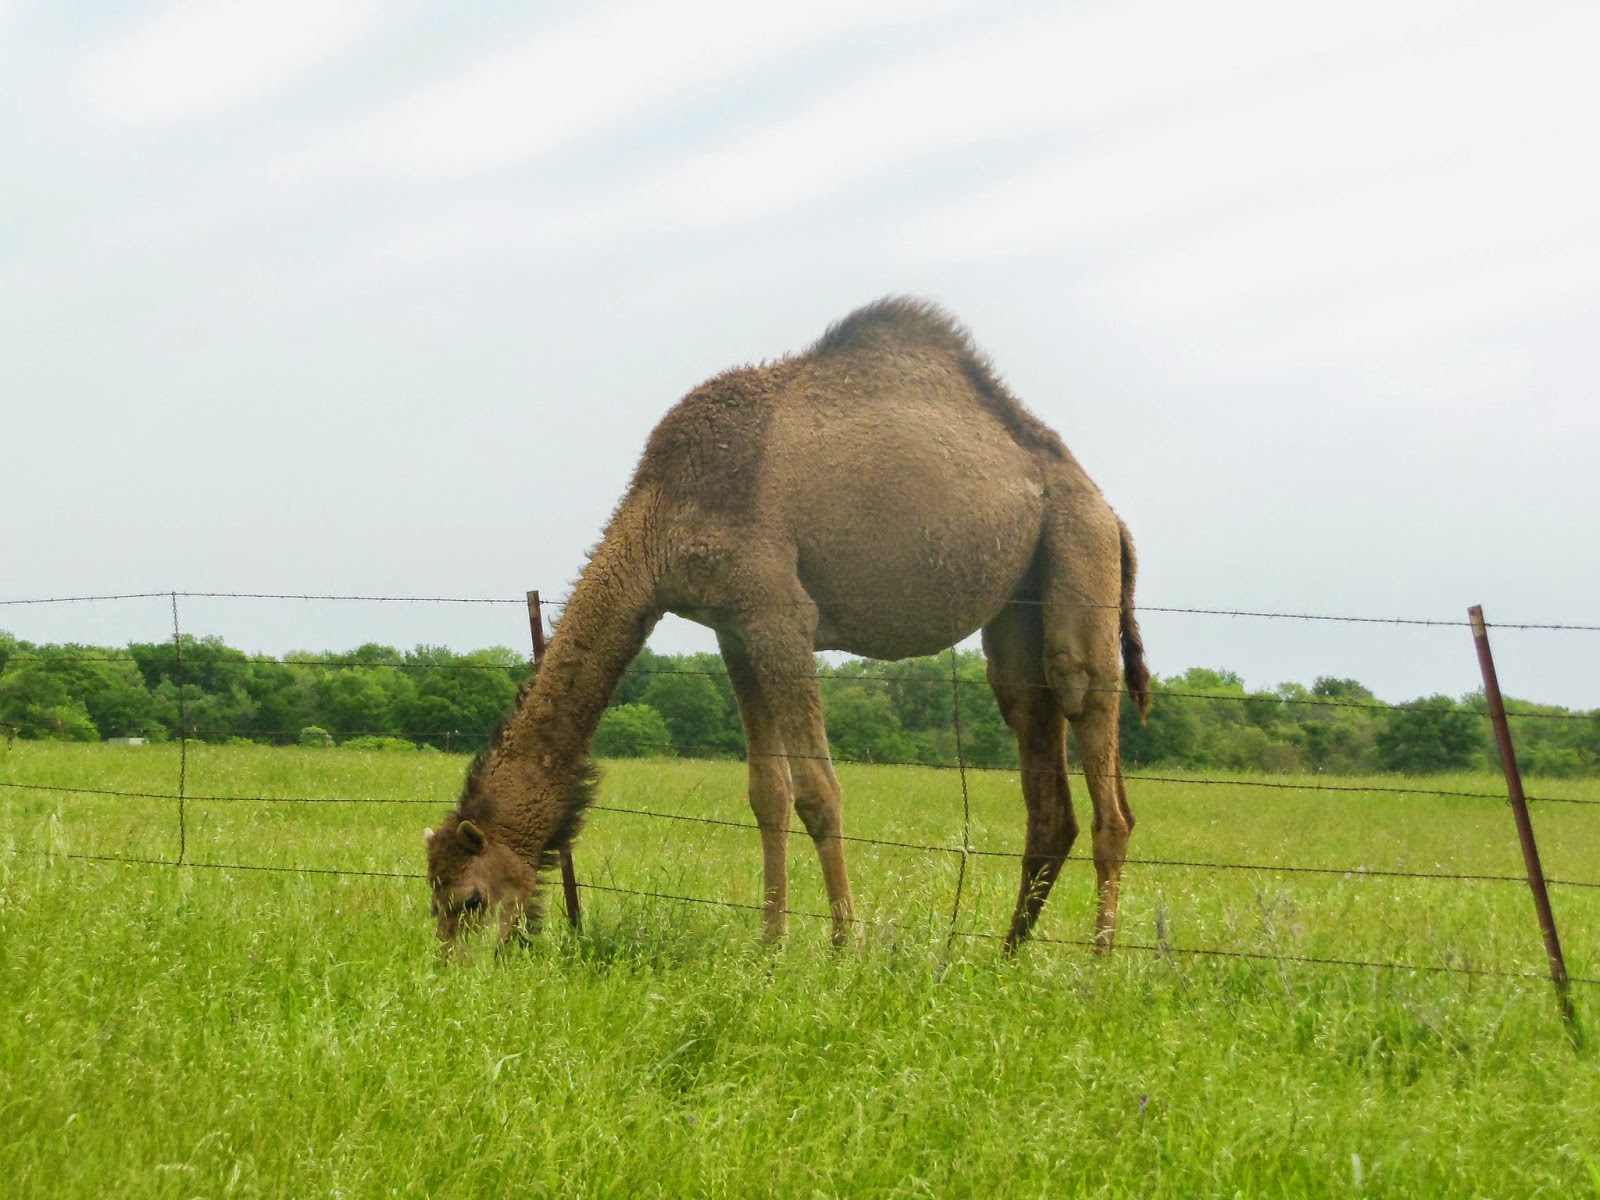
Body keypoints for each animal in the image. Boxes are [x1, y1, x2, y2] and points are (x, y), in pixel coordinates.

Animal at [426, 297, 1150, 952]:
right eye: (435, 901)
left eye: (471, 900)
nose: (456, 973)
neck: (664, 515)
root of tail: (1110, 511)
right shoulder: (733, 628)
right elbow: (766, 793)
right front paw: (769, 946)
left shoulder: (779, 614)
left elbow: (818, 791)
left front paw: (842, 951)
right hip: (1017, 605)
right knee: (1038, 754)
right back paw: (1005, 958)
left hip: (1079, 547)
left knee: (1095, 741)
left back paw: (1095, 968)